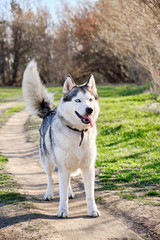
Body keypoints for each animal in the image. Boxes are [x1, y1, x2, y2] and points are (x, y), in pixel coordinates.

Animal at [22, 60, 100, 218]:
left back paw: (70, 192)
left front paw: (93, 210)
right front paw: (63, 211)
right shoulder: (63, 167)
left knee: (67, 182)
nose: (89, 110)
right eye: (77, 100)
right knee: (50, 179)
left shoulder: (88, 167)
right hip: (48, 162)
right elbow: (62, 193)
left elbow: (89, 194)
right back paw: (49, 194)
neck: (78, 132)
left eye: (90, 100)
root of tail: (50, 112)